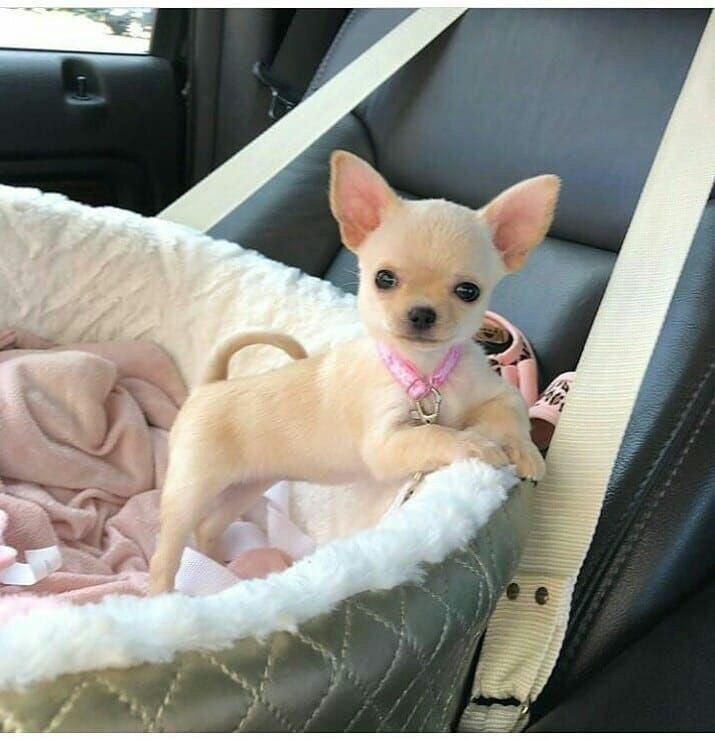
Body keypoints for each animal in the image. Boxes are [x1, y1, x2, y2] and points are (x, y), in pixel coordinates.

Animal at [150, 152, 560, 596]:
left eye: (469, 291)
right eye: (384, 279)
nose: (421, 313)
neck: (426, 375)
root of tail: (210, 385)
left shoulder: (496, 394)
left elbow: (511, 413)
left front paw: (524, 450)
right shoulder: (386, 444)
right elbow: (435, 435)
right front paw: (474, 445)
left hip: (247, 485)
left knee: (209, 527)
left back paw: (227, 569)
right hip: (191, 489)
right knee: (168, 548)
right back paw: (164, 597)